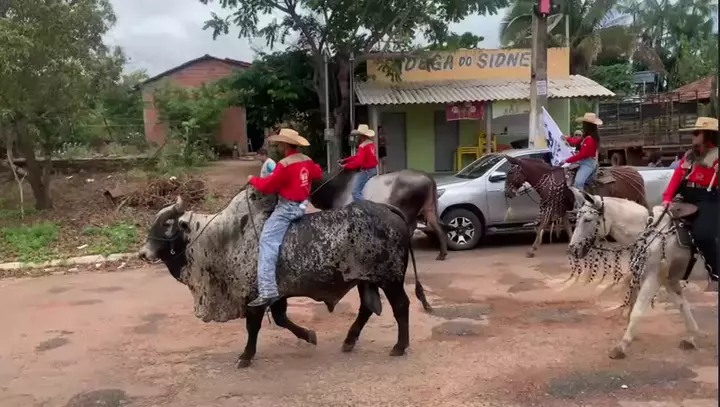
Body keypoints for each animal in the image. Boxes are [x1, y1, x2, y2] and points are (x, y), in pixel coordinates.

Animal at [137, 187, 433, 368]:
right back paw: (349, 341)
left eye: (167, 224)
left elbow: (254, 327)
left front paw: (245, 356)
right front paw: (309, 335)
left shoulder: (255, 296)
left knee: (401, 306)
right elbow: (281, 320)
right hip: (364, 280)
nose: (143, 253)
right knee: (367, 308)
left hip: (390, 279)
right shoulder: (277, 295)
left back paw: (399, 346)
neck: (222, 238)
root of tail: (388, 209)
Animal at [504, 155, 647, 258]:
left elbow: (541, 226)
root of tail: (636, 173)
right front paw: (571, 246)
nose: (507, 193)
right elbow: (567, 227)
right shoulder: (562, 209)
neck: (549, 179)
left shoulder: (551, 207)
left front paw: (531, 250)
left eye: (510, 173)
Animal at [567, 191, 701, 360]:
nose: (573, 249)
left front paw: (622, 346)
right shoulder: (668, 278)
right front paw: (692, 337)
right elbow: (682, 304)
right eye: (577, 219)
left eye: (588, 220)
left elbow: (637, 311)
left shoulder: (653, 278)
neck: (649, 234)